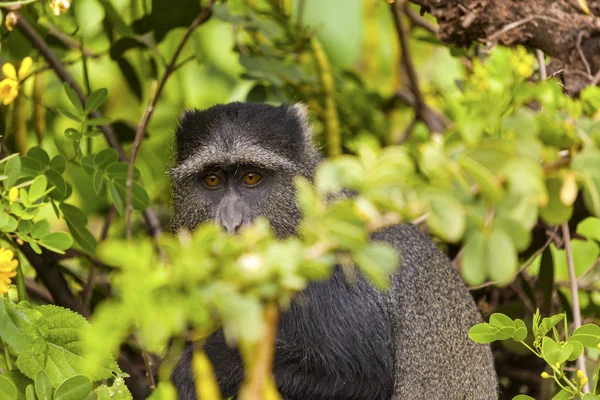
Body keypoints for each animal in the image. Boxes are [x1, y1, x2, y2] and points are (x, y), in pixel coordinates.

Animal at [168, 101, 496, 398]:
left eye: (251, 177)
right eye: (212, 179)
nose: (230, 223)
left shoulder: (336, 278)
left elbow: (364, 379)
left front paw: (201, 366)